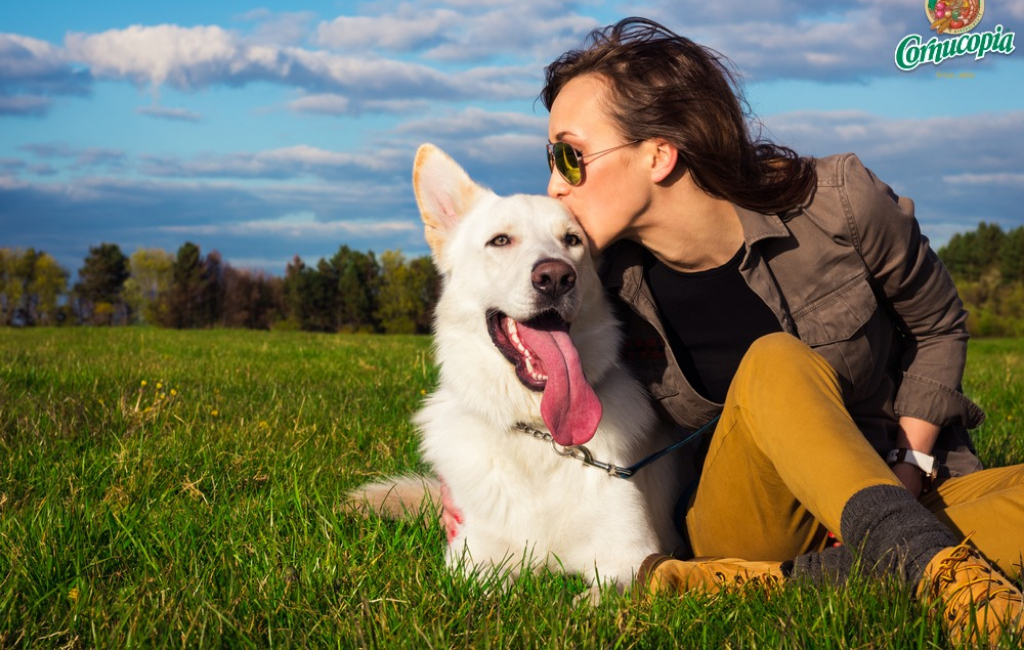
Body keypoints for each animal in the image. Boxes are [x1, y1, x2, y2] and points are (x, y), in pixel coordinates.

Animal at [352, 145, 688, 597]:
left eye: (572, 241)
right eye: (501, 240)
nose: (556, 277)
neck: (540, 434)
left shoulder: (633, 559)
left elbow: (594, 598)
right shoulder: (471, 560)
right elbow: (491, 589)